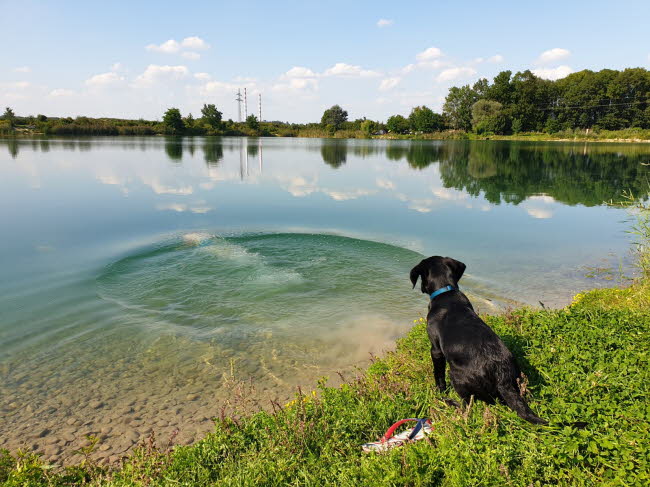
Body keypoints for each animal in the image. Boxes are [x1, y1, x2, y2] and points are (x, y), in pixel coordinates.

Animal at [412, 258, 544, 426]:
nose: (421, 288)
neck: (446, 291)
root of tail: (502, 377)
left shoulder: (435, 349)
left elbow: (438, 374)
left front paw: (439, 391)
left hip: (455, 374)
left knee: (467, 406)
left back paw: (449, 402)